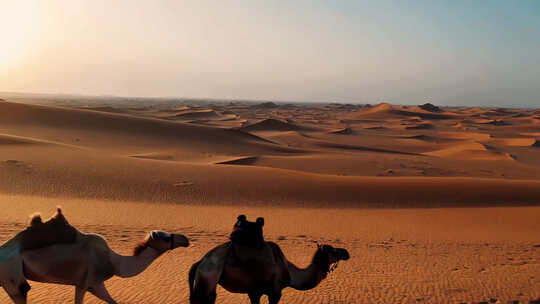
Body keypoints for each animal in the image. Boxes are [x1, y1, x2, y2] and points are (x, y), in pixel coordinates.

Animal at [0, 208, 190, 302]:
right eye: (166, 238)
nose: (186, 240)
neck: (115, 262)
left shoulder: (96, 284)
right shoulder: (84, 282)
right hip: (12, 276)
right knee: (22, 290)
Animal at [190, 215, 350, 302]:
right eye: (333, 250)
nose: (346, 253)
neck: (291, 273)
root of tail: (200, 262)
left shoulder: (255, 292)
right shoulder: (275, 292)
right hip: (207, 279)